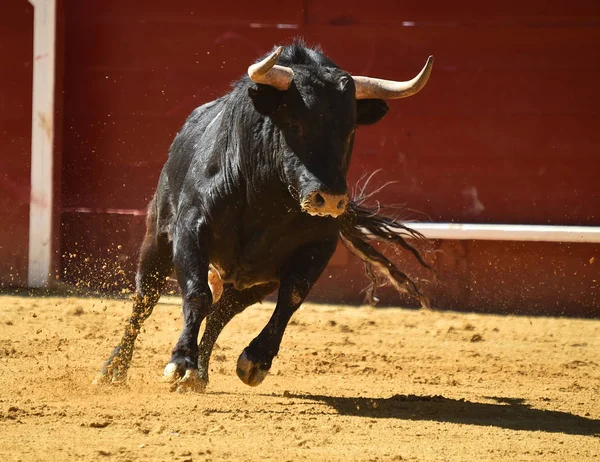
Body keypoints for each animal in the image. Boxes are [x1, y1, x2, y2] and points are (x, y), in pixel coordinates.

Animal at [94, 41, 434, 392]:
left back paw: (198, 375)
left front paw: (255, 361)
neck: (267, 202)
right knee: (145, 299)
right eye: (295, 123)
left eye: (350, 130)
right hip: (158, 239)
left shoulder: (317, 247)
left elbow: (291, 298)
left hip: (252, 280)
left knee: (222, 312)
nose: (331, 199)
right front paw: (180, 361)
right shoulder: (190, 229)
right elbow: (196, 292)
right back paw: (113, 371)